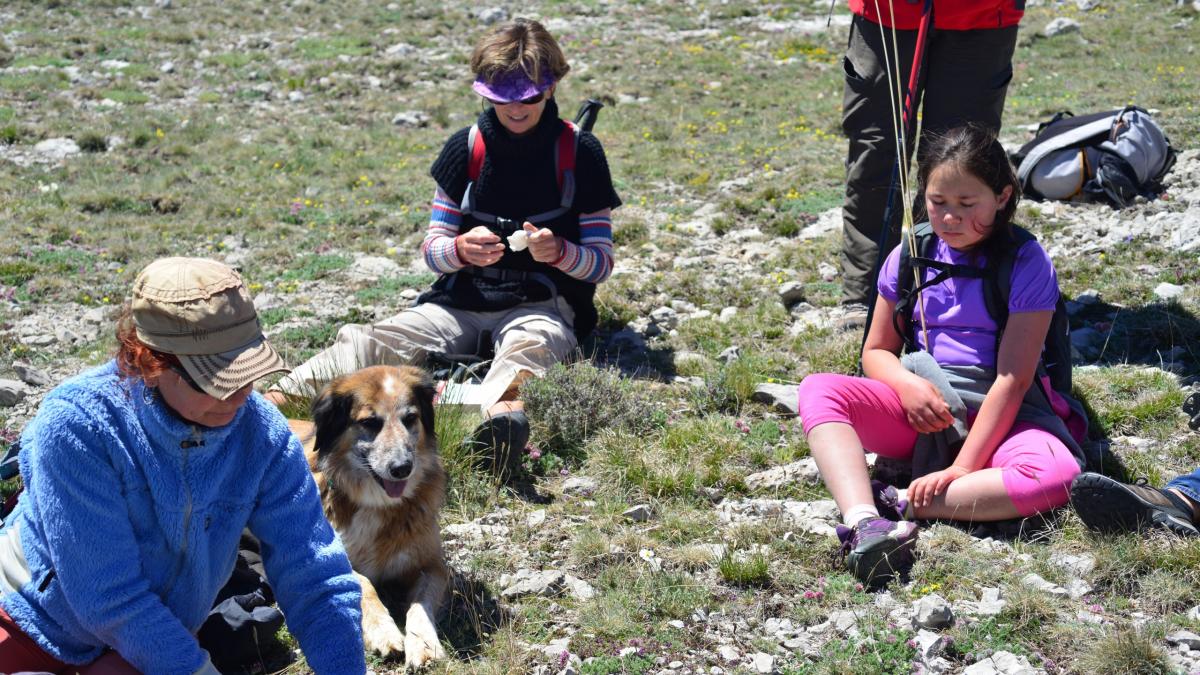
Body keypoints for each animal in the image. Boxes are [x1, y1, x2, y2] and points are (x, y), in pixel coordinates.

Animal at [289, 365, 448, 670]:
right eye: (370, 422)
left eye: (410, 418)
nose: (402, 468)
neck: (378, 504)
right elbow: (365, 585)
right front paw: (384, 632)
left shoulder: (432, 566)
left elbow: (420, 605)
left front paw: (424, 644)